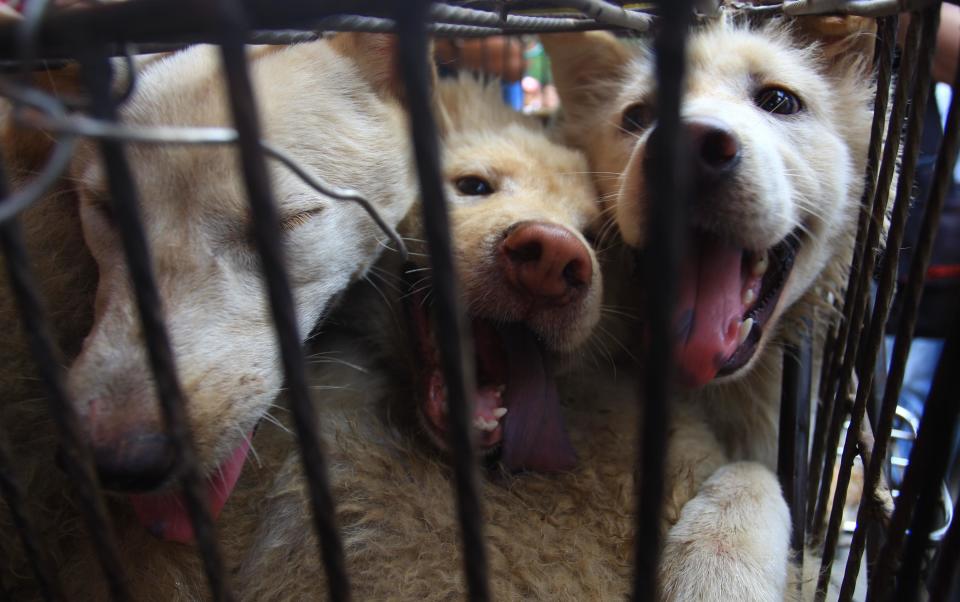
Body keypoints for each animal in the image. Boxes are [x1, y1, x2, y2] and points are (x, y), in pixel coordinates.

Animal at [544, 15, 872, 600]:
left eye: (780, 100)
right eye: (637, 116)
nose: (685, 147)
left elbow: (758, 473)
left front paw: (720, 564)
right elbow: (752, 473)